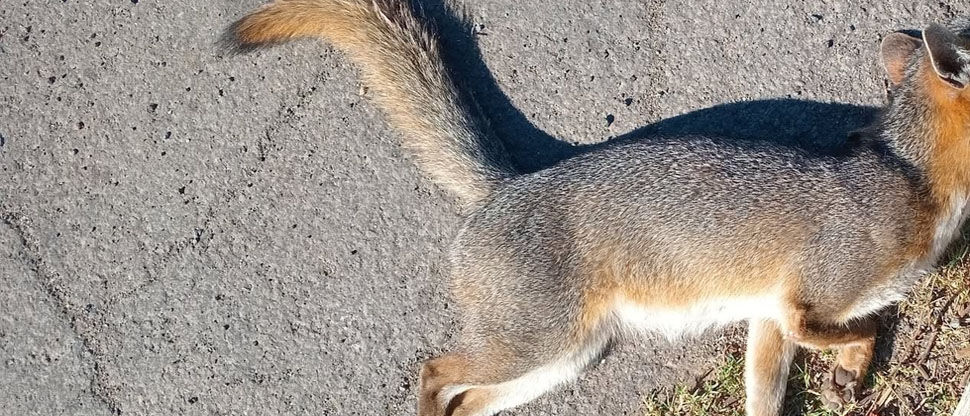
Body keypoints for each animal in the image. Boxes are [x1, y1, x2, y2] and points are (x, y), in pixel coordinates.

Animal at [220, 1, 970, 415]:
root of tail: (506, 185)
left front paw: (846, 375)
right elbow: (861, 326)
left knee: (467, 400)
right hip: (534, 346)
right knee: (433, 375)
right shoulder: (798, 304)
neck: (916, 181)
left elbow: (777, 388)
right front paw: (854, 362)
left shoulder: (766, 321)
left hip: (560, 359)